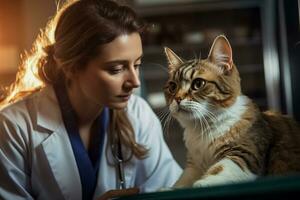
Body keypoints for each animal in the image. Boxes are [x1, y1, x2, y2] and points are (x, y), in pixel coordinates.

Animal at [163, 34, 300, 188]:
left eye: (198, 84)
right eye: (172, 87)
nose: (177, 98)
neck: (201, 129)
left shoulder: (244, 154)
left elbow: (217, 171)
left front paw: (200, 184)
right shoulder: (194, 167)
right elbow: (180, 183)